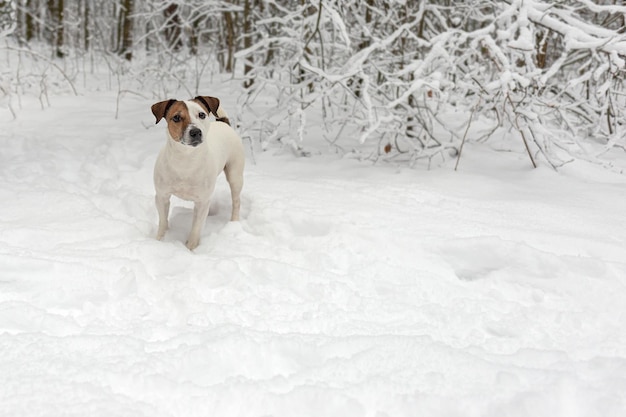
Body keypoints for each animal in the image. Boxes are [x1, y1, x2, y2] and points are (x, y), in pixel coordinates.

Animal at [149, 96, 244, 249]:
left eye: (202, 115)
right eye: (176, 117)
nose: (196, 132)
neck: (186, 160)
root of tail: (224, 124)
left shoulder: (202, 202)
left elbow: (196, 228)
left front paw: (190, 248)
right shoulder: (162, 196)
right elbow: (163, 222)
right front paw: (160, 240)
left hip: (235, 175)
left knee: (236, 201)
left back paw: (234, 222)